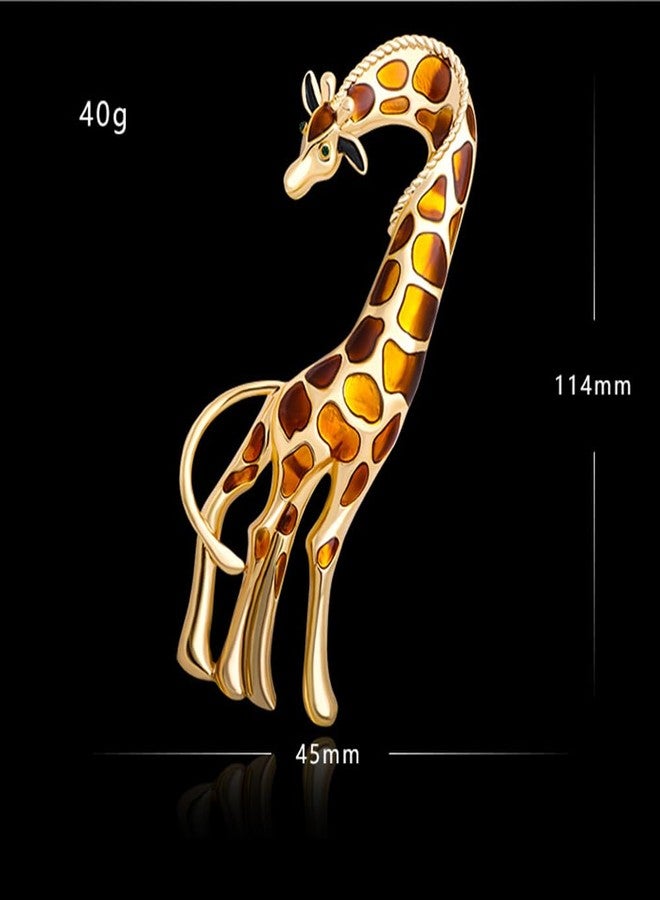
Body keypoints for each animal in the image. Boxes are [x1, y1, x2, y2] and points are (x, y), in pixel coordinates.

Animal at [178, 35, 477, 726]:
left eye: (328, 149)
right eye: (303, 129)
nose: (291, 185)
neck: (370, 357)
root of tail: (273, 394)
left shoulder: (363, 469)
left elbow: (320, 546)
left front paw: (309, 698)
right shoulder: (312, 461)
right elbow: (281, 541)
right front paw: (260, 687)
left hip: (275, 456)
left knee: (248, 518)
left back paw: (206, 664)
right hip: (275, 454)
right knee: (245, 519)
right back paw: (217, 667)